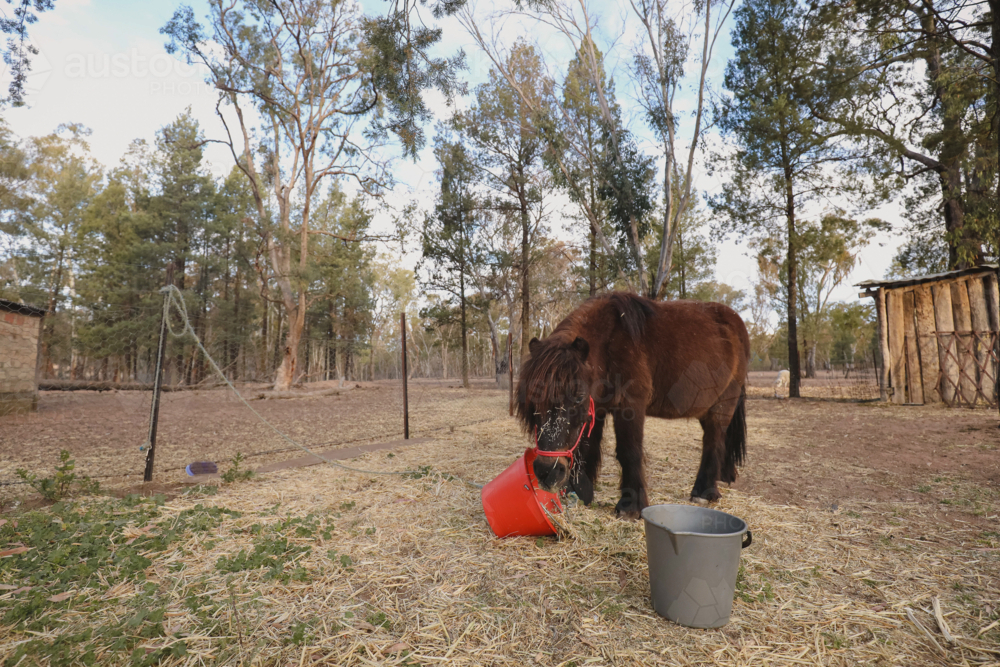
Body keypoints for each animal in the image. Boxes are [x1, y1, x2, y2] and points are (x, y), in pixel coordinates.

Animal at [515, 292, 750, 518]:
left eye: (579, 396)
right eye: (532, 400)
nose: (547, 472)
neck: (609, 343)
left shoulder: (630, 407)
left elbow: (629, 451)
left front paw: (631, 507)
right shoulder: (597, 409)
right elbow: (587, 447)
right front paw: (580, 493)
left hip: (723, 405)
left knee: (713, 442)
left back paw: (704, 492)